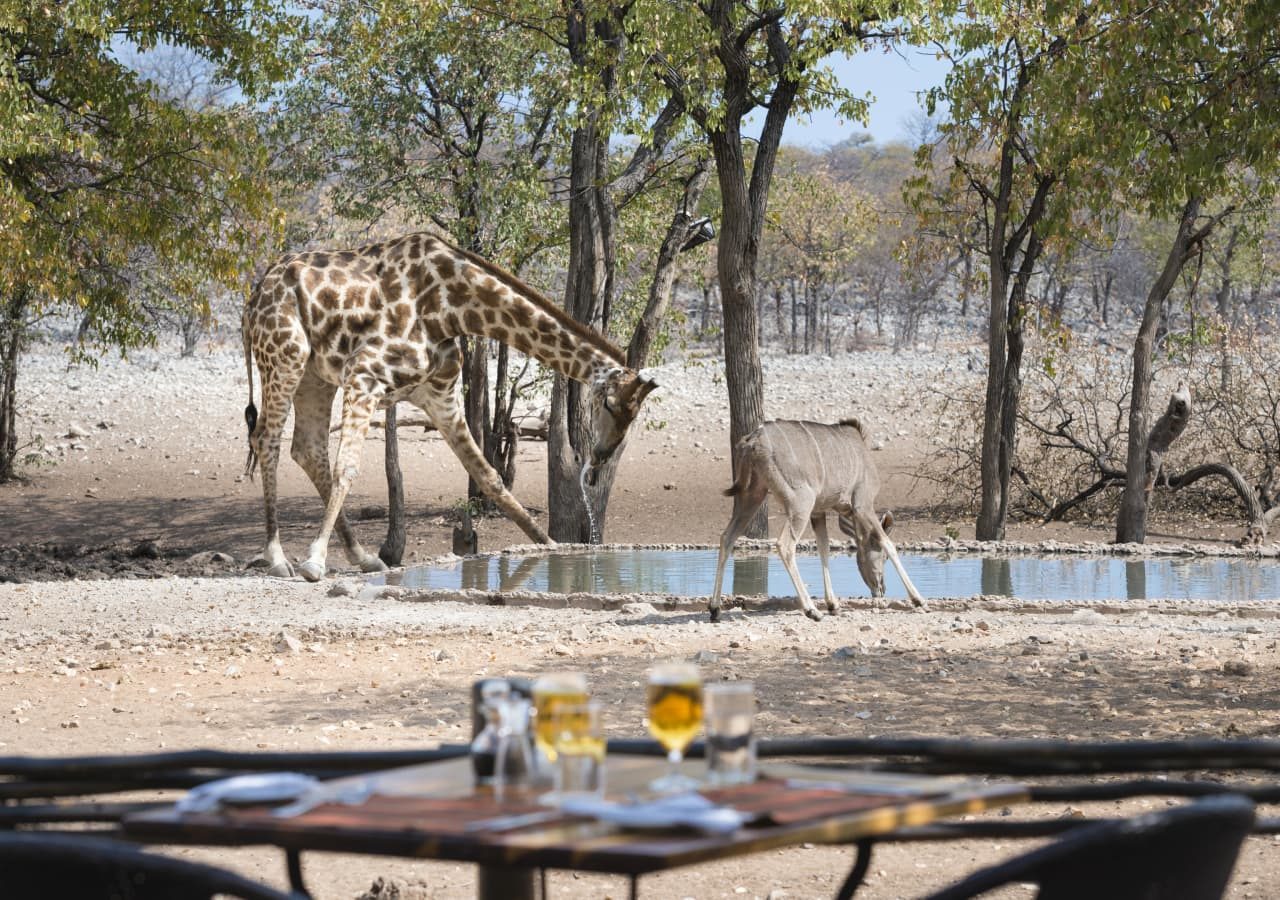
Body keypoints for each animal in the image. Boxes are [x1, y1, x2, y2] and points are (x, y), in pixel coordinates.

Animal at [240, 233, 660, 583]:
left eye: (634, 415)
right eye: (608, 404)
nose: (601, 456)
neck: (453, 309)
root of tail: (252, 299)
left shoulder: (440, 397)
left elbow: (490, 477)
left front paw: (552, 549)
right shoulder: (364, 375)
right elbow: (348, 467)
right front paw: (314, 561)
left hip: (316, 376)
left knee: (306, 448)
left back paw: (364, 557)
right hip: (285, 356)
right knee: (268, 440)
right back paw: (279, 558)